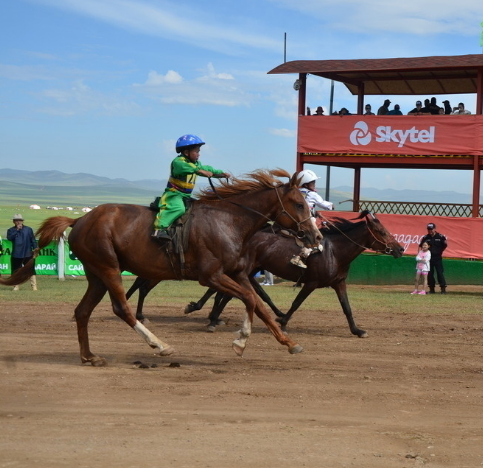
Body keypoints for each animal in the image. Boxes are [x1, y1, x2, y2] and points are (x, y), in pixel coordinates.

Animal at [2, 169, 326, 366]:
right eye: (299, 203)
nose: (317, 237)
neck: (228, 221)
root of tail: (79, 219)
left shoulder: (237, 274)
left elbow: (258, 303)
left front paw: (288, 341)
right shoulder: (211, 276)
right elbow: (249, 300)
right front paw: (240, 340)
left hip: (95, 274)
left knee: (82, 312)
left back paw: (90, 356)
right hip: (108, 268)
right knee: (122, 308)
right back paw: (160, 345)